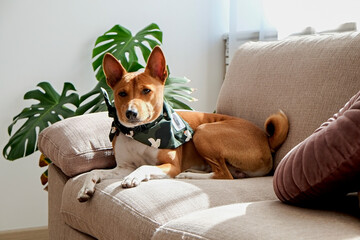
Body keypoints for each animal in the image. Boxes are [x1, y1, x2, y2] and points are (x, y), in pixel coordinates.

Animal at [76, 46, 290, 202]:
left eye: (146, 91)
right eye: (122, 93)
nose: (131, 113)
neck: (140, 133)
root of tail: (266, 140)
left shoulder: (171, 166)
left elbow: (144, 166)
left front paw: (133, 177)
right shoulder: (124, 166)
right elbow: (95, 171)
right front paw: (86, 187)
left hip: (203, 132)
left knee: (224, 174)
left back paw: (187, 175)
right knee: (227, 172)